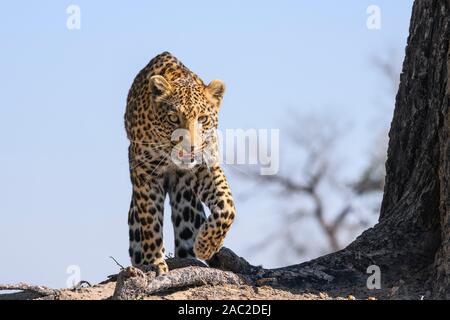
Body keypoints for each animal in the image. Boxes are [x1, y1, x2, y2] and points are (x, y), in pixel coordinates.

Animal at [123, 51, 236, 274]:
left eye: (203, 119)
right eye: (173, 118)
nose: (190, 148)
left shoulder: (205, 166)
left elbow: (227, 204)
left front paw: (206, 245)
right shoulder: (146, 173)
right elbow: (150, 220)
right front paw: (154, 263)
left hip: (186, 203)